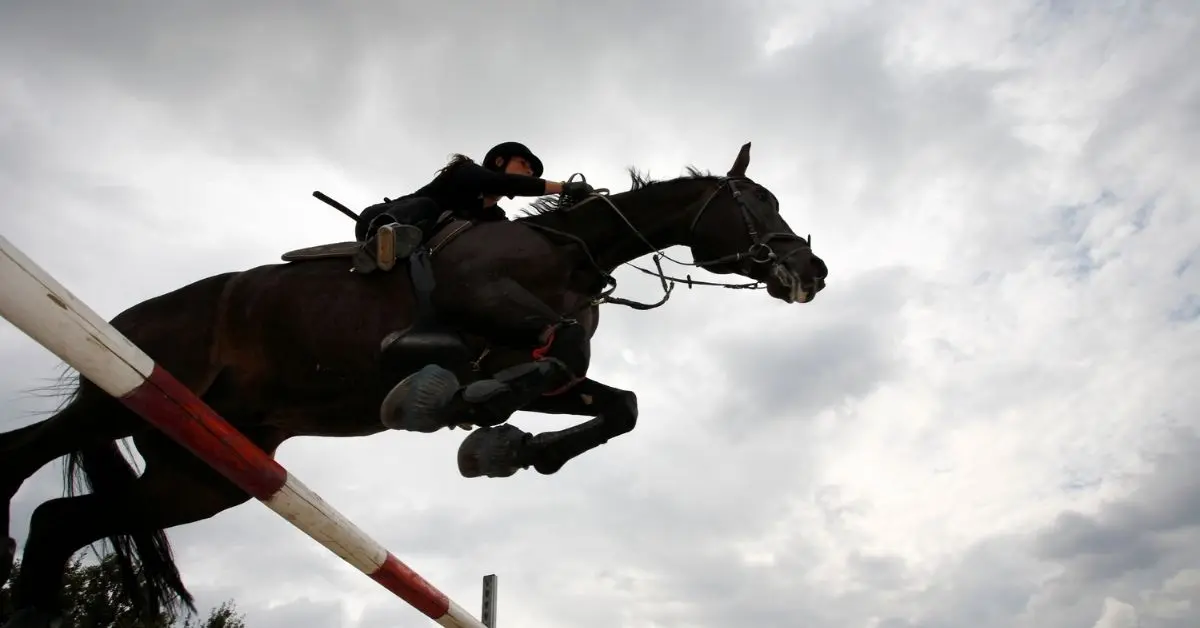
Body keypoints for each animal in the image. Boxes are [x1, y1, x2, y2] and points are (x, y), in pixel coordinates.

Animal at [0, 142, 827, 627]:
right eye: (755, 204)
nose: (812, 271)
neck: (572, 250)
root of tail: (129, 315)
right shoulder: (486, 306)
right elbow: (555, 354)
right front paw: (462, 406)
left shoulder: (528, 364)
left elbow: (613, 402)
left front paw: (510, 447)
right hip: (121, 394)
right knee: (21, 458)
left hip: (200, 474)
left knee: (60, 521)